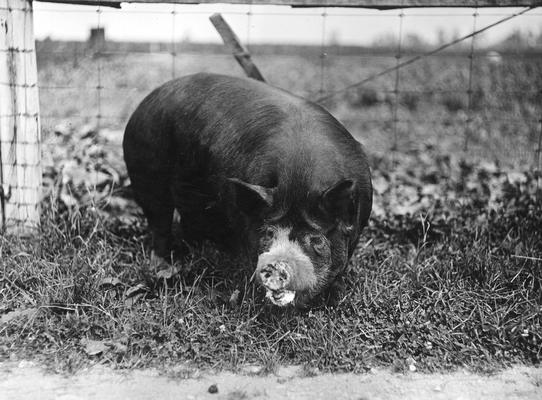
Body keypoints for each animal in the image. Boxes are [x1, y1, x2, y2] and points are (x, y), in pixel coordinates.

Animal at [123, 72, 372, 310]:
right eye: (269, 233)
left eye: (316, 239)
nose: (277, 263)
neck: (299, 179)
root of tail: (143, 104)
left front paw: (335, 298)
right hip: (146, 172)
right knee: (159, 222)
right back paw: (164, 265)